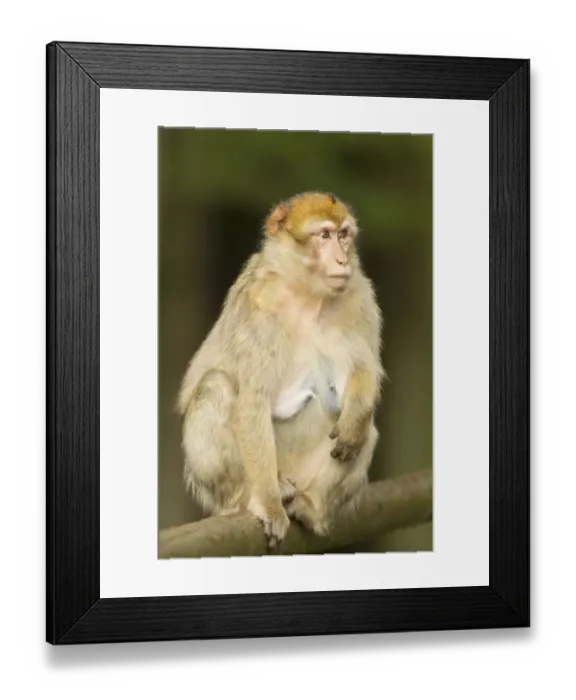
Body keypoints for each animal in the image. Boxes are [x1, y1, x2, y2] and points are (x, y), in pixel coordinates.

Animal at [178, 192, 385, 550]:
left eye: (344, 235)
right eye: (324, 235)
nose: (342, 260)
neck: (310, 296)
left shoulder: (360, 296)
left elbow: (366, 368)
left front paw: (356, 414)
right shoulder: (260, 304)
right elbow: (251, 399)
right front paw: (269, 506)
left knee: (365, 431)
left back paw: (310, 507)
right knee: (215, 385)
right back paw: (260, 494)